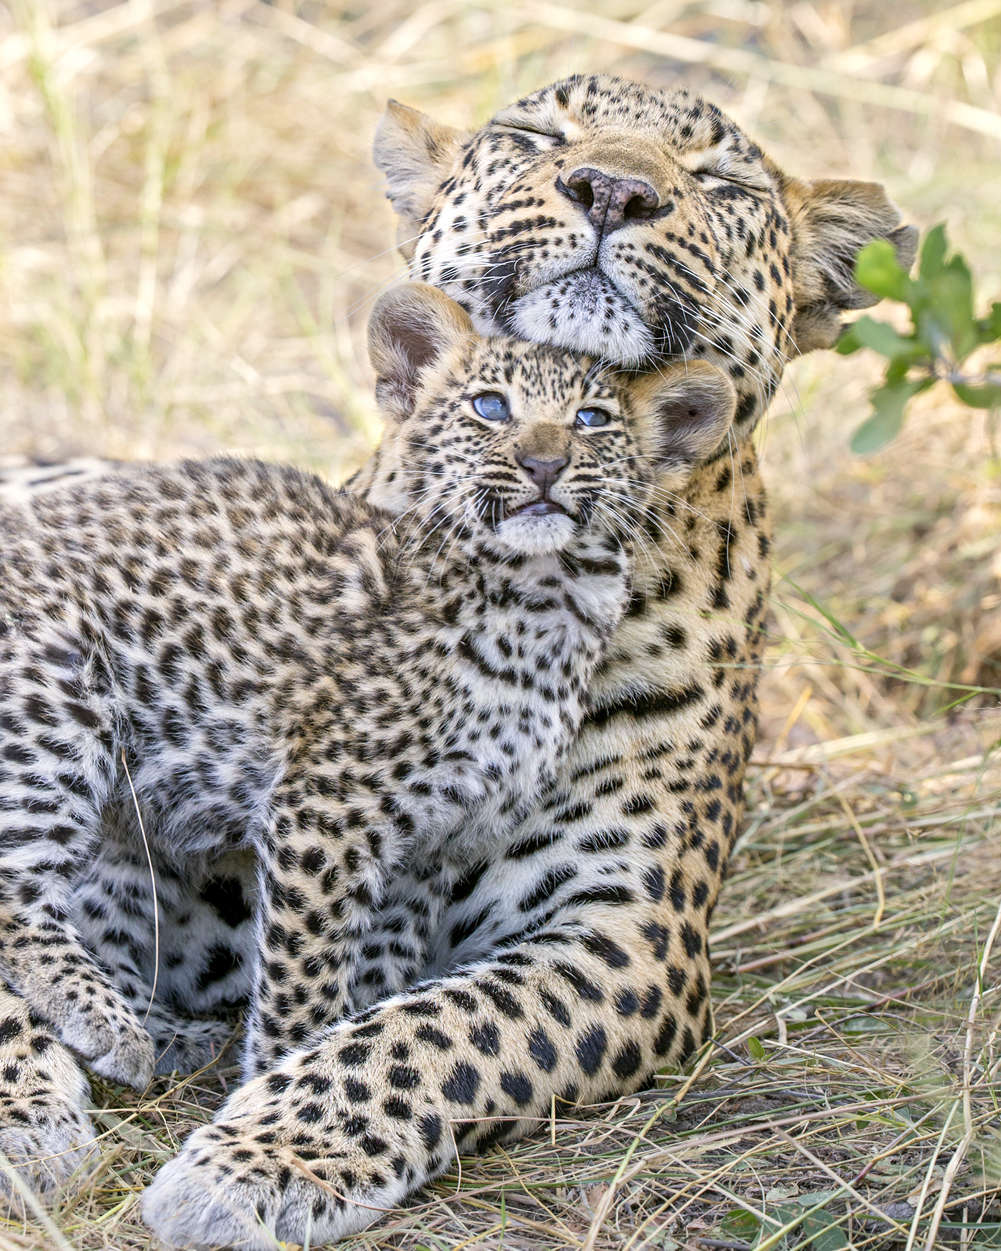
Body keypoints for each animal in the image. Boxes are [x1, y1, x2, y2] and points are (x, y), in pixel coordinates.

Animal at [0, 73, 915, 1245]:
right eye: (536, 134)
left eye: (721, 182)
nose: (611, 189)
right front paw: (41, 1110)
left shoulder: (625, 934)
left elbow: (428, 1032)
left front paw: (257, 1157)